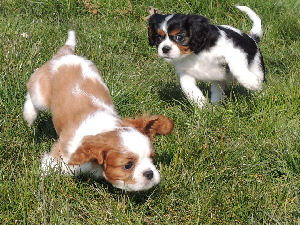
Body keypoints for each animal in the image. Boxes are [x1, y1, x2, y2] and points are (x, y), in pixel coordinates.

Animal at [22, 30, 173, 192]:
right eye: (128, 165)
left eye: (152, 158)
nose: (149, 173)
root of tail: (65, 54)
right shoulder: (62, 156)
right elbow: (48, 168)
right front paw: (42, 183)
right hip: (40, 94)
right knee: (32, 95)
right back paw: (29, 115)